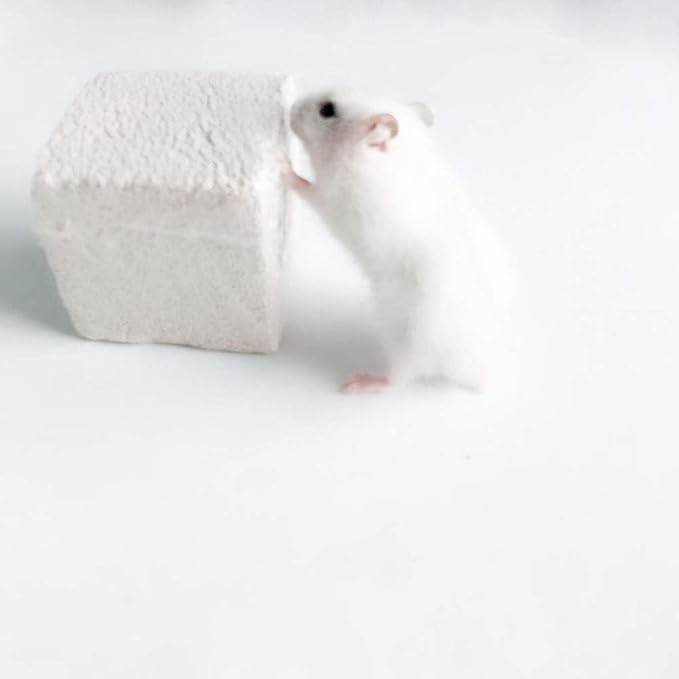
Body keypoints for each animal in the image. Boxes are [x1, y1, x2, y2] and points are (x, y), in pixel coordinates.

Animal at [285, 90, 511, 393]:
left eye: (327, 110)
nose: (291, 108)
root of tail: (478, 373)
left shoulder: (333, 199)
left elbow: (306, 187)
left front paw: (283, 165)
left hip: (407, 342)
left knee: (399, 380)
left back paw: (359, 382)